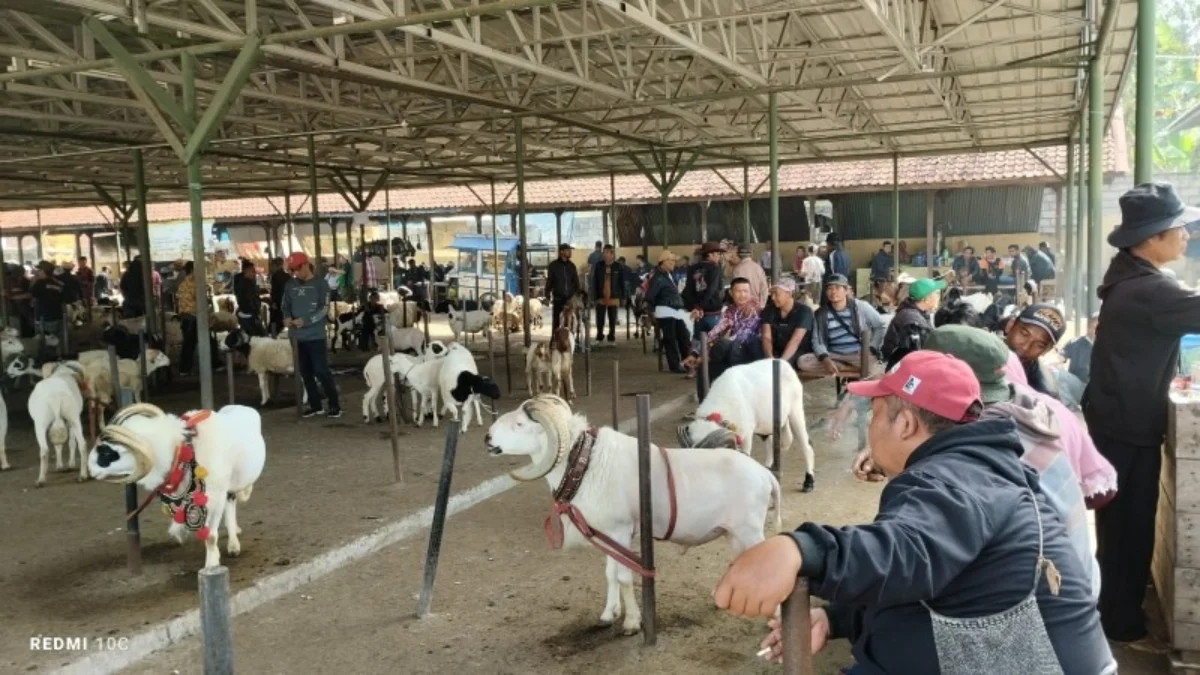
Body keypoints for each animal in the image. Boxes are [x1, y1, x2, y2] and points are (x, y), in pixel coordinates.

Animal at [482, 391, 782, 634]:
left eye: (520, 424)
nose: (487, 438)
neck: (587, 464)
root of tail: (766, 476)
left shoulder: (621, 530)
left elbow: (624, 577)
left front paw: (632, 622)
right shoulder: (606, 532)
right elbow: (610, 574)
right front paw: (608, 614)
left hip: (749, 530)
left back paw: (773, 621)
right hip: (734, 533)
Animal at [681, 357, 820, 487]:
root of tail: (783, 362)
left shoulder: (746, 436)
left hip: (795, 410)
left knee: (806, 445)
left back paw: (809, 481)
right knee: (776, 442)